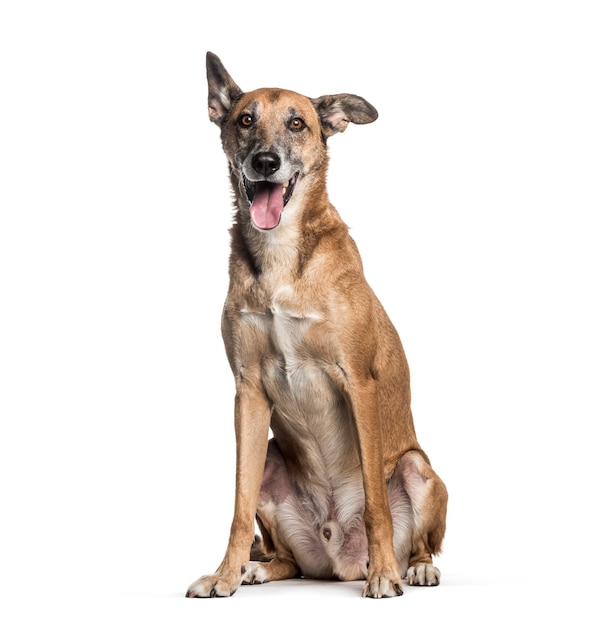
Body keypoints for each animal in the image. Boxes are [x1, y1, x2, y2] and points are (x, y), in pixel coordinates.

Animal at [185, 51, 446, 596]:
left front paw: (385, 575)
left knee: (420, 537)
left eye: (297, 123)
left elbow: (375, 504)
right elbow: (238, 505)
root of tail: (337, 561)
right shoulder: (248, 393)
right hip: (269, 455)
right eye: (245, 120)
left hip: (418, 467)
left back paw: (412, 566)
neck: (282, 256)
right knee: (287, 558)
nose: (265, 162)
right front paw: (224, 575)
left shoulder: (359, 384)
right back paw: (258, 568)